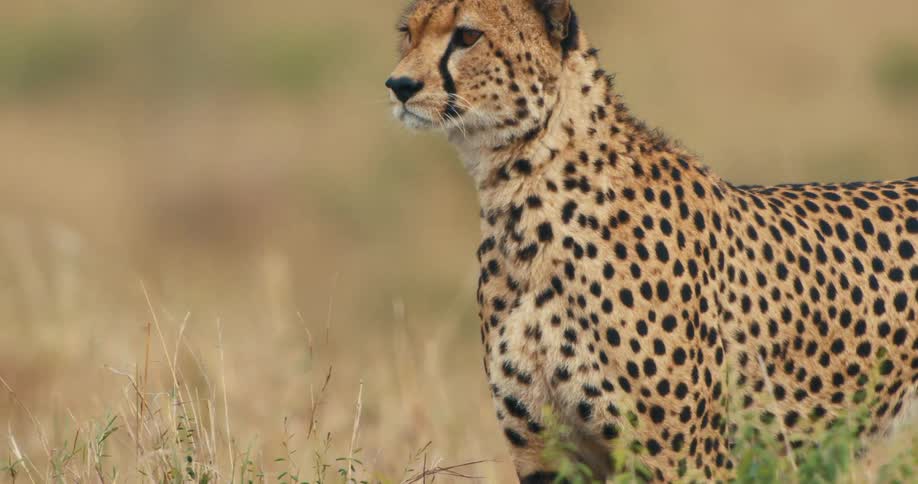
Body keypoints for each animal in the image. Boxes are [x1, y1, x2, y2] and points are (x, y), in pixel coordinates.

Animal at [385, 0, 918, 481]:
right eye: (408, 32)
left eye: (467, 35)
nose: (400, 85)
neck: (520, 190)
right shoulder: (549, 455)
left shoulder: (689, 462)